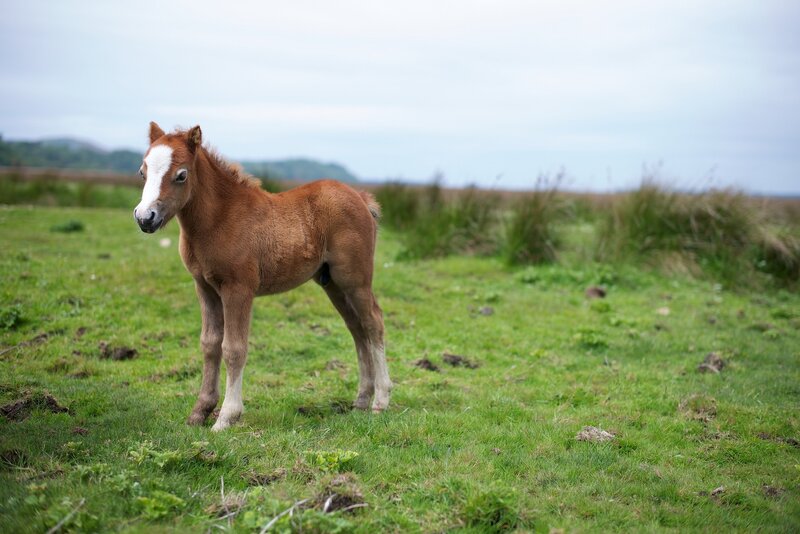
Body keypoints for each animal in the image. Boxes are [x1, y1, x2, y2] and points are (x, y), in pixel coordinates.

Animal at [133, 122, 391, 431]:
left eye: (181, 175)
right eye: (143, 172)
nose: (145, 218)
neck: (219, 219)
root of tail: (361, 199)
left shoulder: (238, 289)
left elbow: (234, 348)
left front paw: (227, 417)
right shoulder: (204, 287)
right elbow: (209, 344)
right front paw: (200, 411)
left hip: (355, 279)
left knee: (373, 323)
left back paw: (381, 401)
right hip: (333, 284)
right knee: (356, 328)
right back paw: (361, 400)